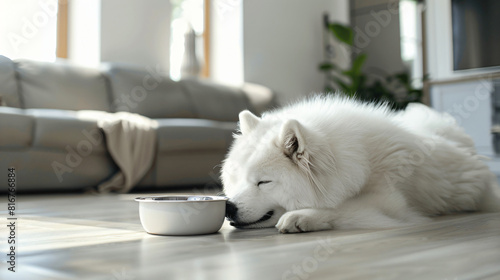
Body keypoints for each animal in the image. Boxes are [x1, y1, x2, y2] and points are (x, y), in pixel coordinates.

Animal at [222, 95, 500, 233]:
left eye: (263, 182)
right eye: (236, 179)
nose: (229, 207)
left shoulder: (390, 202)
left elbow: (341, 207)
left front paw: (302, 216)